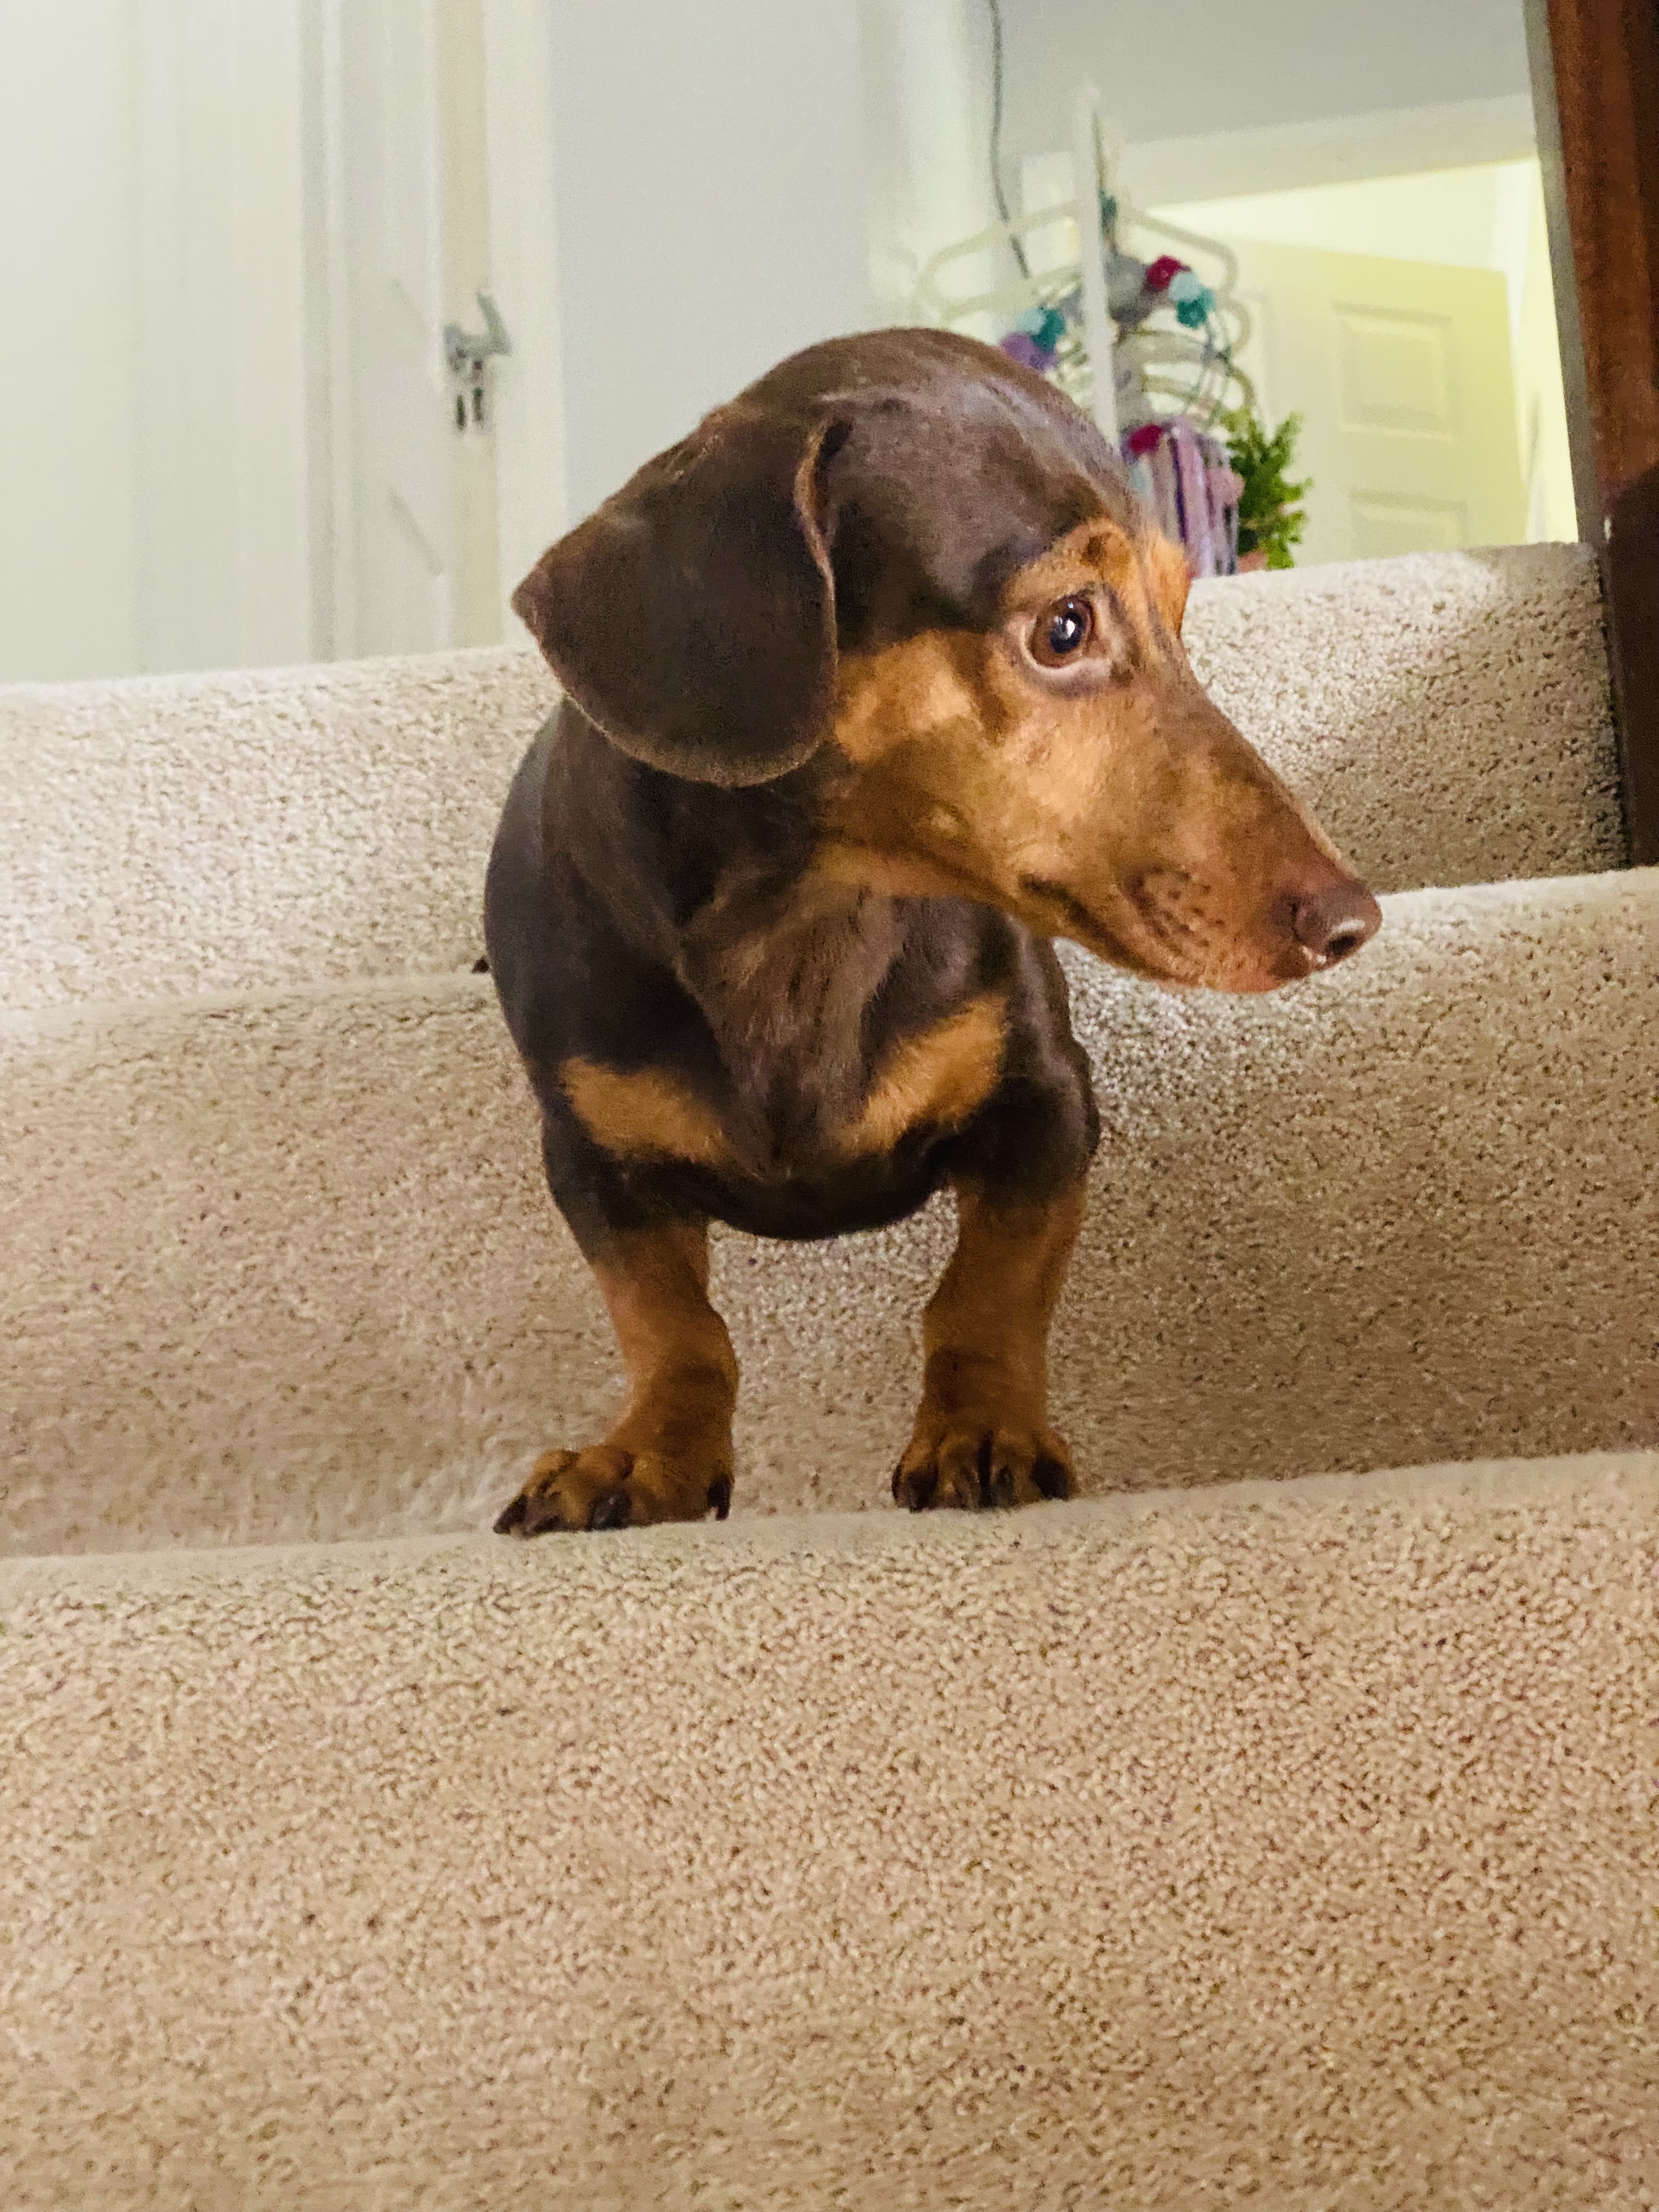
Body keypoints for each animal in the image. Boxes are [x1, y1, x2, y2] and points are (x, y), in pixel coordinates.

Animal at [487, 327, 1380, 1539]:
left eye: (1179, 612)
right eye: (1064, 627)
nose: (1351, 919)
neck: (809, 919)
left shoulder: (1049, 1101)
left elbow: (983, 1292)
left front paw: (980, 1430)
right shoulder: (590, 1161)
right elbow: (672, 1326)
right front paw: (647, 1453)